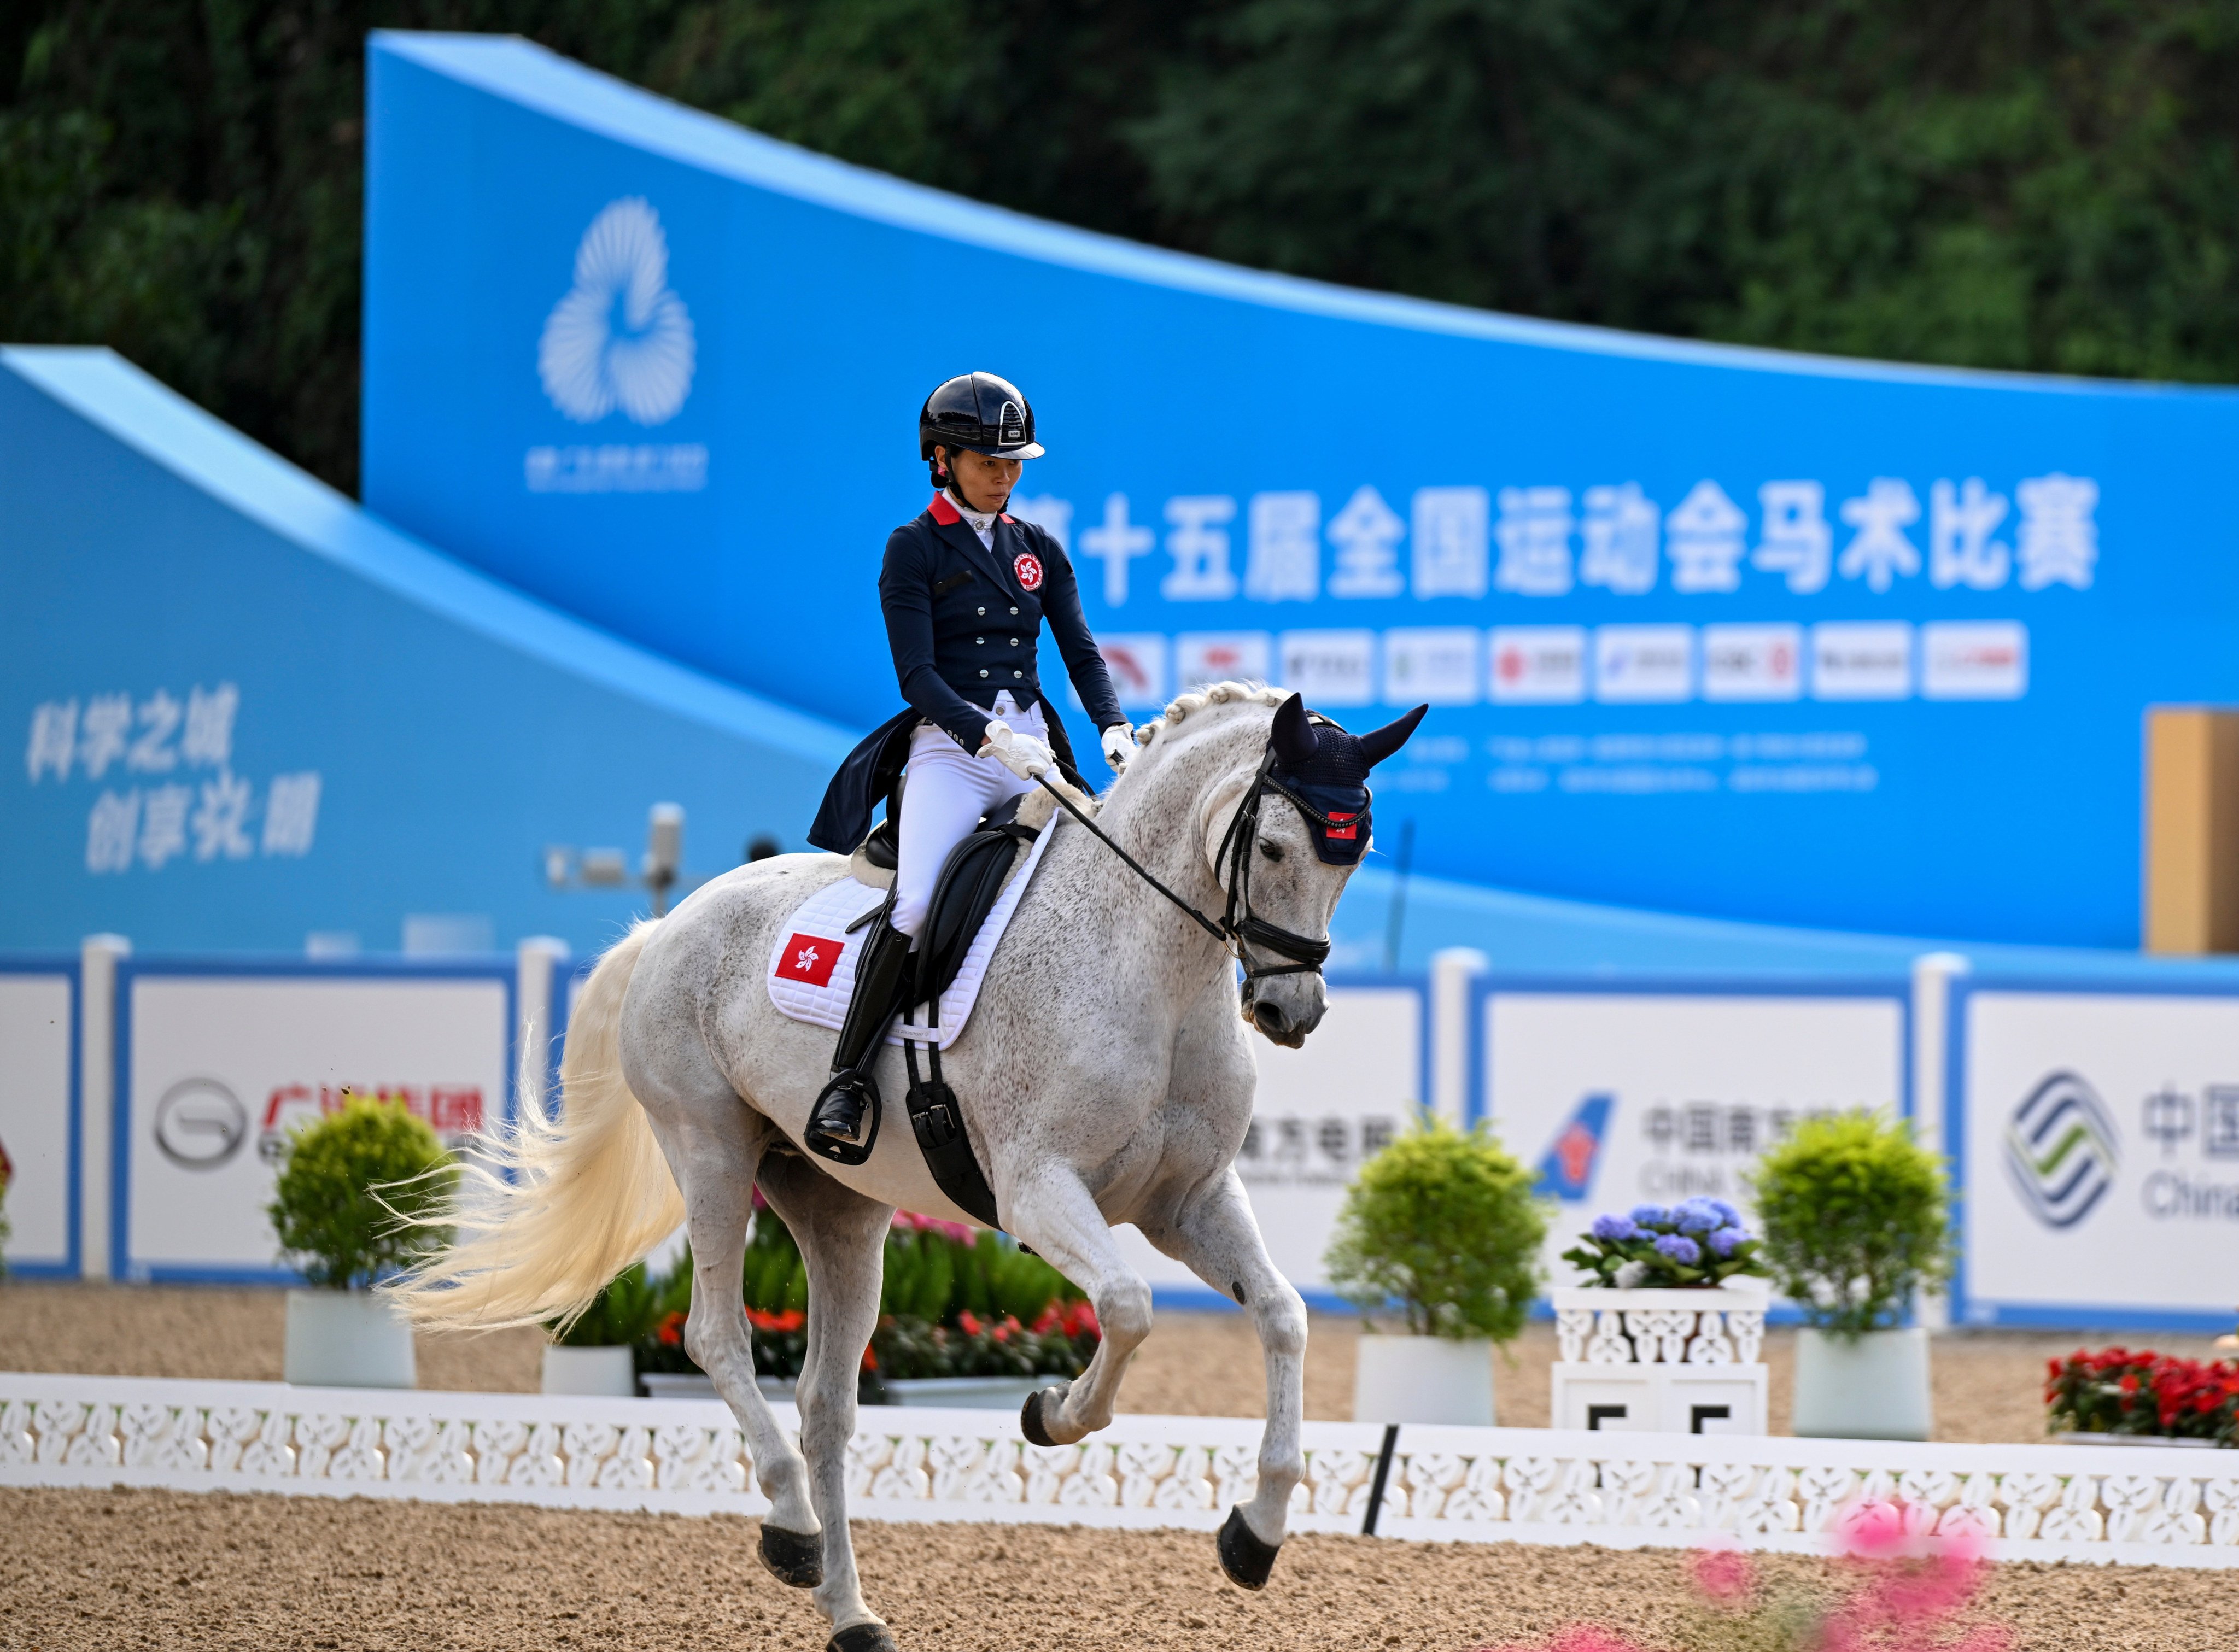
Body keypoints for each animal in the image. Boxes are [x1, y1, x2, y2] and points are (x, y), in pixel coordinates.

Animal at [387, 682, 1422, 1652]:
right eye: (1277, 848)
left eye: (1353, 854)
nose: (1291, 1011)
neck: (1151, 967)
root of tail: (671, 921)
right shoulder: (1038, 1192)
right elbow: (1129, 1309)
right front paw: (1051, 1413)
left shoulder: (1189, 1202)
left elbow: (1282, 1316)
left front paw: (1255, 1530)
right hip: (708, 1145)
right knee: (717, 1338)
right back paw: (791, 1528)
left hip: (838, 1208)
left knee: (824, 1403)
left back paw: (849, 1610)